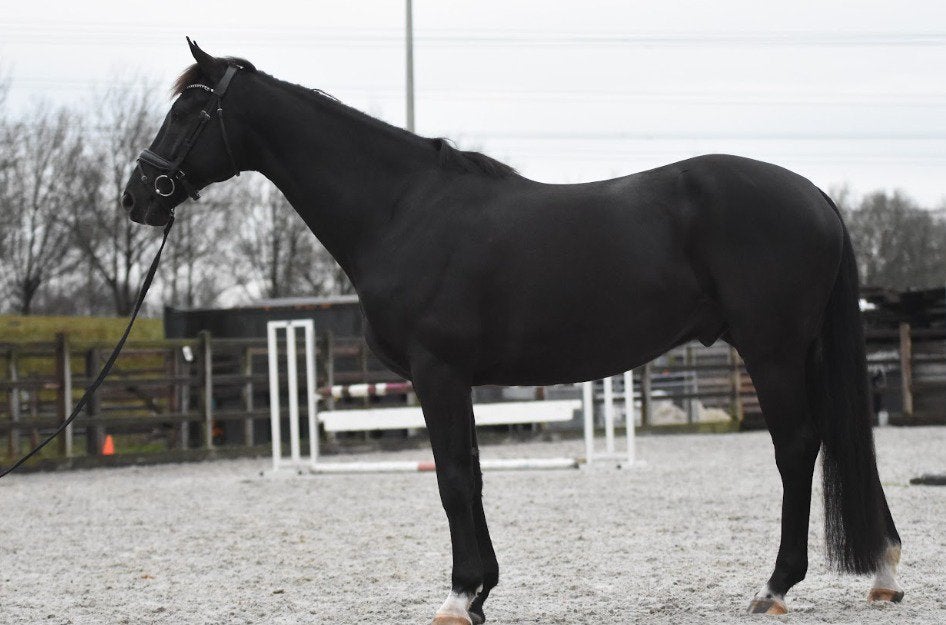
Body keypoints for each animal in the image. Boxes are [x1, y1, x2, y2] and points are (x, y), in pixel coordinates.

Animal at [121, 39, 904, 623]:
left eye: (191, 109)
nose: (136, 197)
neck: (402, 209)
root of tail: (816, 196)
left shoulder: (437, 373)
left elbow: (452, 478)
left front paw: (460, 595)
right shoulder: (458, 379)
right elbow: (469, 474)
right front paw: (481, 591)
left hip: (772, 350)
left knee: (798, 446)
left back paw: (774, 585)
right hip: (800, 350)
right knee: (839, 435)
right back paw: (884, 571)